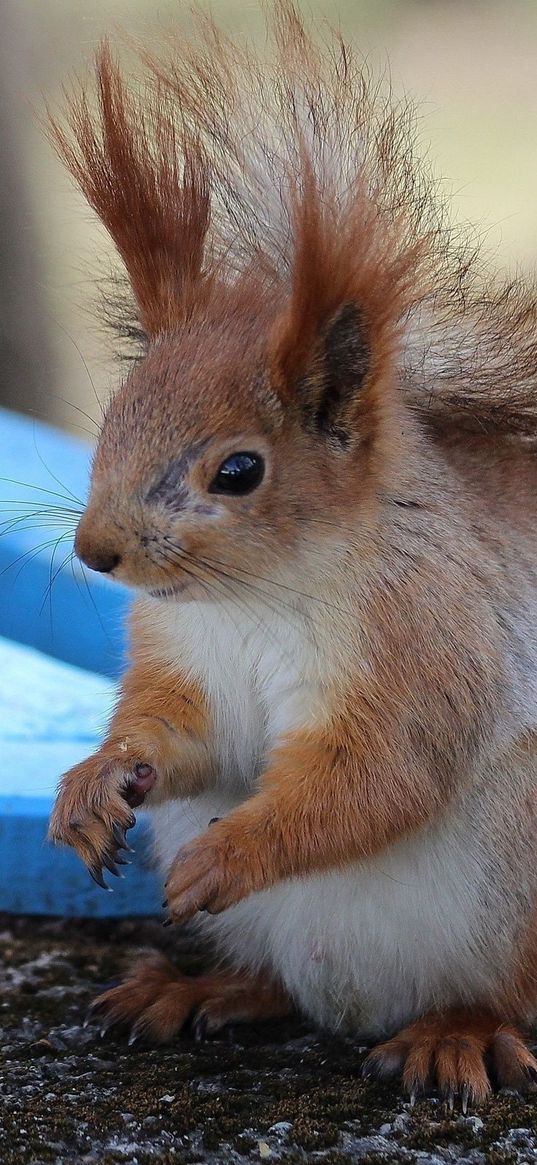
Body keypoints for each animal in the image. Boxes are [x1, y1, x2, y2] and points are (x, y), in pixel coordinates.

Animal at [47, 2, 537, 1109]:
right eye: (114, 413)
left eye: (239, 472)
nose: (97, 552)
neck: (256, 596)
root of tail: (363, 1005)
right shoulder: (184, 656)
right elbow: (194, 739)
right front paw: (97, 780)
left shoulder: (427, 639)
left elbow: (376, 775)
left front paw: (234, 851)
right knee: (280, 986)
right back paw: (201, 987)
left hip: (521, 889)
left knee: (500, 997)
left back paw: (456, 1033)